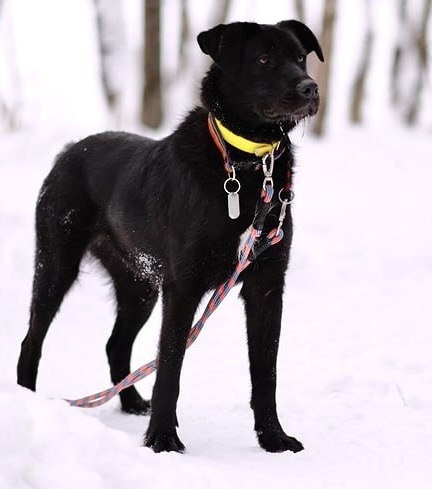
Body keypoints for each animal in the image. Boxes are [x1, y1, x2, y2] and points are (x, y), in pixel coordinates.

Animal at [18, 21, 322, 452]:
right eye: (264, 59)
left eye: (300, 57)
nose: (310, 88)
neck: (246, 164)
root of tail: (69, 151)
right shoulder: (183, 287)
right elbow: (171, 366)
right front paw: (162, 438)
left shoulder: (266, 284)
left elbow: (266, 372)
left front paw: (273, 438)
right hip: (56, 266)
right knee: (32, 340)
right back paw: (27, 400)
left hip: (140, 286)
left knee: (116, 344)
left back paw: (131, 402)